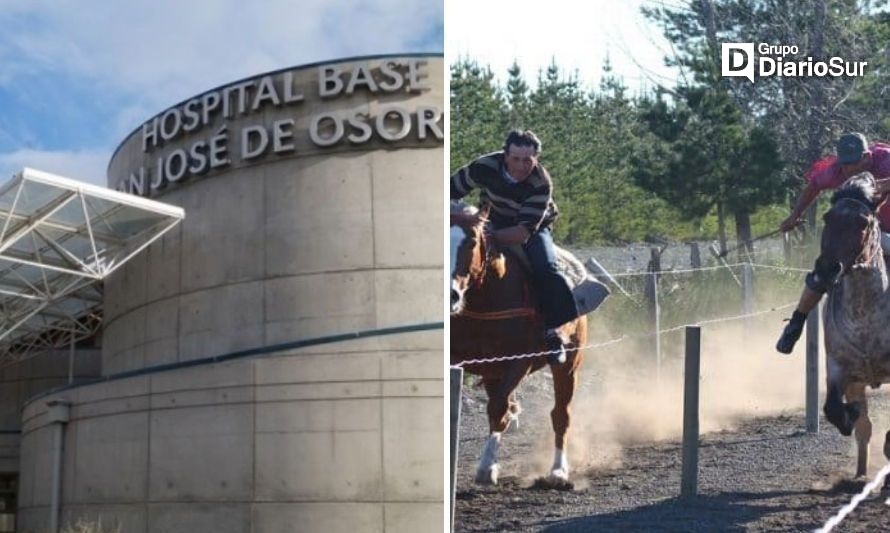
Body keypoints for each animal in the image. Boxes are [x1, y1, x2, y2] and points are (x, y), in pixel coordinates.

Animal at [448, 204, 588, 486]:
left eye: (471, 241)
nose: (451, 295)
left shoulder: (519, 362)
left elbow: (498, 408)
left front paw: (487, 468)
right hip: (492, 373)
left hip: (569, 364)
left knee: (560, 415)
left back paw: (558, 471)